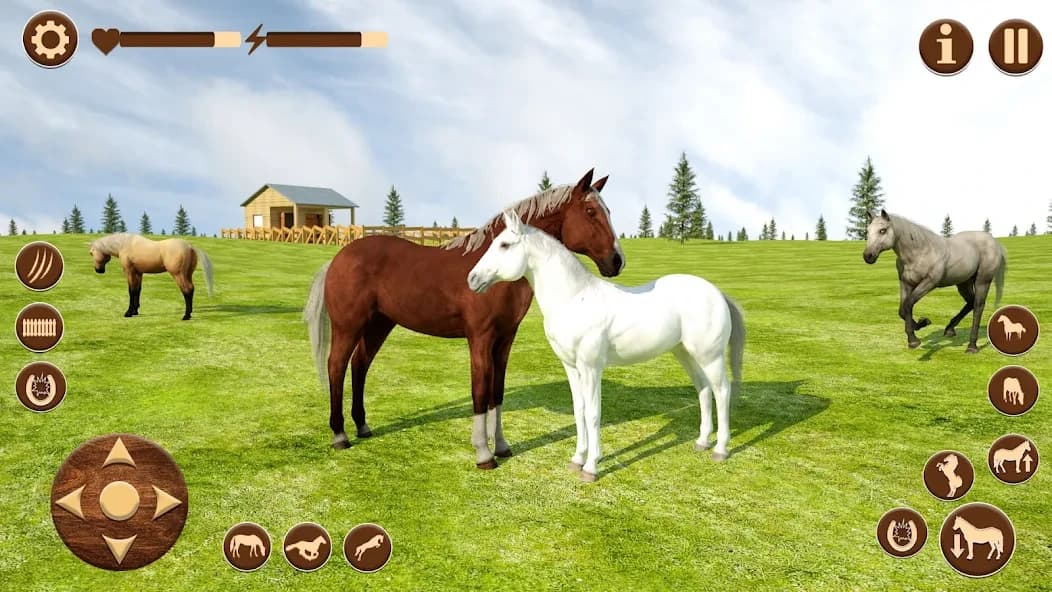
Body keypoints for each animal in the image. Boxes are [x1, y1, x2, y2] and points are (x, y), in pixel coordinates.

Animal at [304, 169, 623, 469]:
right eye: (591, 211)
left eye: (608, 211)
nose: (617, 261)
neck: (494, 271)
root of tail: (337, 259)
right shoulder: (480, 338)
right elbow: (480, 391)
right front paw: (484, 454)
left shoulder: (505, 339)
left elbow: (497, 392)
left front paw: (502, 446)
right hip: (349, 326)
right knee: (337, 366)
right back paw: (340, 435)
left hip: (379, 325)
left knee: (360, 365)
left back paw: (362, 426)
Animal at [467, 211, 745, 482]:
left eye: (504, 244)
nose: (472, 279)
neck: (574, 298)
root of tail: (718, 293)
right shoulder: (571, 367)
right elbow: (579, 410)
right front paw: (577, 459)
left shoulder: (591, 368)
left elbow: (592, 413)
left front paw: (591, 467)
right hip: (686, 354)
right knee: (704, 390)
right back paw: (702, 442)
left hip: (710, 357)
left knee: (722, 391)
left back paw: (720, 449)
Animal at [863, 210, 1006, 353]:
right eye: (868, 231)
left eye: (882, 230)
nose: (867, 256)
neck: (919, 253)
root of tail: (994, 242)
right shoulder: (906, 283)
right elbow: (902, 310)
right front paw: (922, 323)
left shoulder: (929, 283)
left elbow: (908, 304)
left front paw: (914, 340)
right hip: (963, 282)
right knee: (970, 303)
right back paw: (949, 330)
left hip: (982, 281)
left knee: (978, 306)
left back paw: (972, 346)